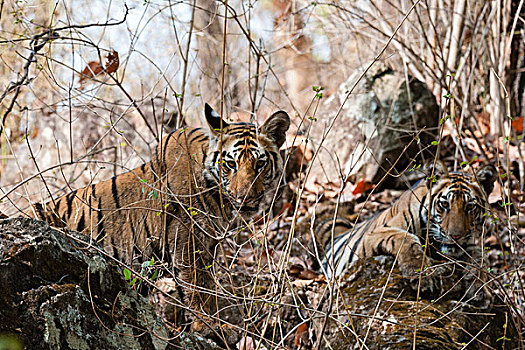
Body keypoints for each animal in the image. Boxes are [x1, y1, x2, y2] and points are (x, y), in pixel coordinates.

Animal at [23, 102, 290, 338]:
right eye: (230, 164)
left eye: (260, 163)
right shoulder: (188, 242)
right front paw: (212, 328)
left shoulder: (207, 243)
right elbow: (200, 289)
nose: (245, 197)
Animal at [320, 163, 496, 294]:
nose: (455, 236)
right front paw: (420, 275)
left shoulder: (470, 242)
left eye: (470, 207)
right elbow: (406, 239)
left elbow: (481, 258)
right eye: (445, 204)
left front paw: (481, 290)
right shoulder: (373, 234)